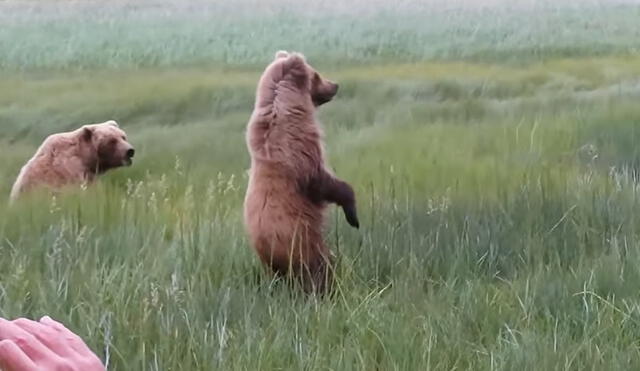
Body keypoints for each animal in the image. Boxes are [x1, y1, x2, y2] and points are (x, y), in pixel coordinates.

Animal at [244, 51, 358, 294]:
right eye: (316, 75)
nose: (335, 85)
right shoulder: (298, 151)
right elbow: (323, 182)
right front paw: (353, 215)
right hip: (303, 244)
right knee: (321, 268)